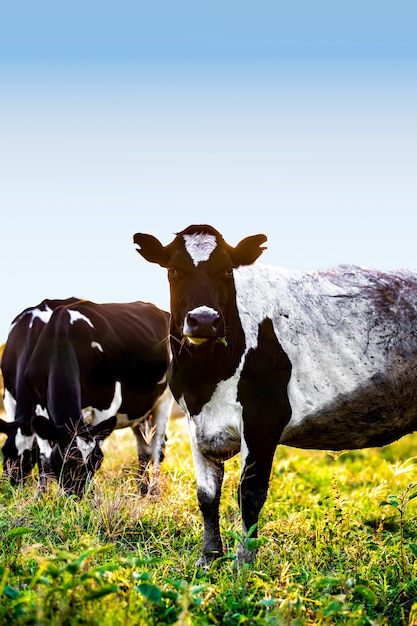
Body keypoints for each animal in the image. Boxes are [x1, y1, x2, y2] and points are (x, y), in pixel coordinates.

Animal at [0, 298, 172, 498]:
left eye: (97, 462)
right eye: (5, 452)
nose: (79, 496)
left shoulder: (107, 406)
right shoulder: (33, 405)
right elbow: (45, 458)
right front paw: (40, 496)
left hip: (165, 399)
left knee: (157, 446)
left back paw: (154, 492)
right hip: (139, 411)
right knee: (144, 446)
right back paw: (142, 490)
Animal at [133, 224, 417, 564]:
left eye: (226, 270)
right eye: (173, 269)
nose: (203, 320)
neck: (205, 377)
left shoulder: (264, 416)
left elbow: (249, 493)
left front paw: (244, 562)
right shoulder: (194, 420)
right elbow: (207, 495)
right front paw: (210, 557)